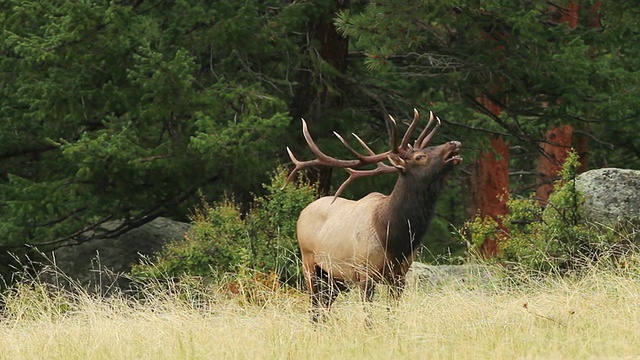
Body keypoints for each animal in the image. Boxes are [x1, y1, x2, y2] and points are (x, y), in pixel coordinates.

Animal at [284, 107, 460, 320]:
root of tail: (303, 212)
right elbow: (368, 318)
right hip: (310, 264)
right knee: (314, 309)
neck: (395, 239)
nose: (454, 143)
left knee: (323, 307)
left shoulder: (400, 275)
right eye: (419, 156)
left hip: (335, 278)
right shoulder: (365, 273)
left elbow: (392, 314)